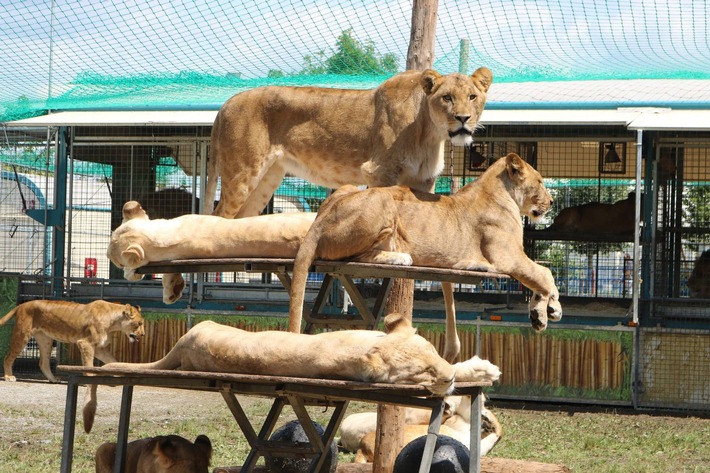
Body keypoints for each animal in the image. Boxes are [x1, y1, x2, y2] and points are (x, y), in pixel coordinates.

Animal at [288, 153, 560, 360]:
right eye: (539, 181)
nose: (551, 201)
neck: (501, 193)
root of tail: (318, 221)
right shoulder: (508, 256)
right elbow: (545, 274)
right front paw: (552, 309)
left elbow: (537, 280)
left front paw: (538, 314)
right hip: (382, 201)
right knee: (355, 258)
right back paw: (401, 258)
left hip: (349, 189)